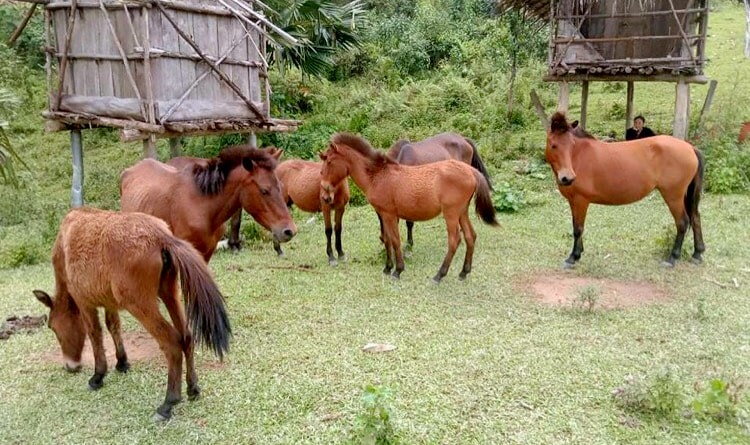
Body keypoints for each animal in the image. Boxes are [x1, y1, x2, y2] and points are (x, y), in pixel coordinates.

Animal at [33, 207, 231, 421]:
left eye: (52, 327)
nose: (70, 366)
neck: (64, 242)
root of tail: (160, 236)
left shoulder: (84, 302)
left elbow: (95, 333)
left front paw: (98, 375)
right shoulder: (110, 302)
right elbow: (113, 326)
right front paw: (122, 362)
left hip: (140, 304)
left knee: (172, 343)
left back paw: (168, 403)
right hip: (169, 293)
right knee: (186, 336)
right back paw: (192, 387)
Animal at [319, 133, 498, 282]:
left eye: (329, 161)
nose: (325, 194)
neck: (378, 176)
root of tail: (471, 171)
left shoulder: (389, 214)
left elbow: (395, 240)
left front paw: (397, 270)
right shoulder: (384, 215)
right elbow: (388, 239)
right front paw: (387, 268)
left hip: (451, 214)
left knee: (454, 240)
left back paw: (439, 275)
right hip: (462, 212)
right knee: (470, 236)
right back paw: (463, 272)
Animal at [545, 112, 705, 267]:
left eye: (572, 145)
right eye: (553, 145)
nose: (568, 178)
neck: (577, 157)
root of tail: (690, 148)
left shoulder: (580, 200)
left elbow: (578, 229)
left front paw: (573, 257)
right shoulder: (573, 201)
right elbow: (575, 226)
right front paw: (578, 252)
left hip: (673, 196)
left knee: (682, 222)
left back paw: (672, 258)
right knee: (695, 218)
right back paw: (697, 254)